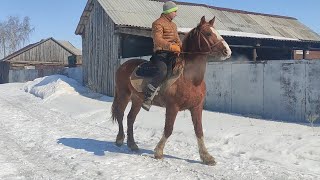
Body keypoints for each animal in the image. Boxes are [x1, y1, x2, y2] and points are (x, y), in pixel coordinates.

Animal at [111, 16, 231, 165]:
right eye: (208, 33)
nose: (228, 51)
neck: (190, 78)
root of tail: (123, 66)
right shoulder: (172, 107)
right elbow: (168, 129)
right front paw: (158, 151)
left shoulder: (197, 107)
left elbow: (199, 130)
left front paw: (206, 157)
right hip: (124, 95)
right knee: (120, 114)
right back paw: (119, 139)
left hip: (137, 100)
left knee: (130, 118)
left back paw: (132, 144)